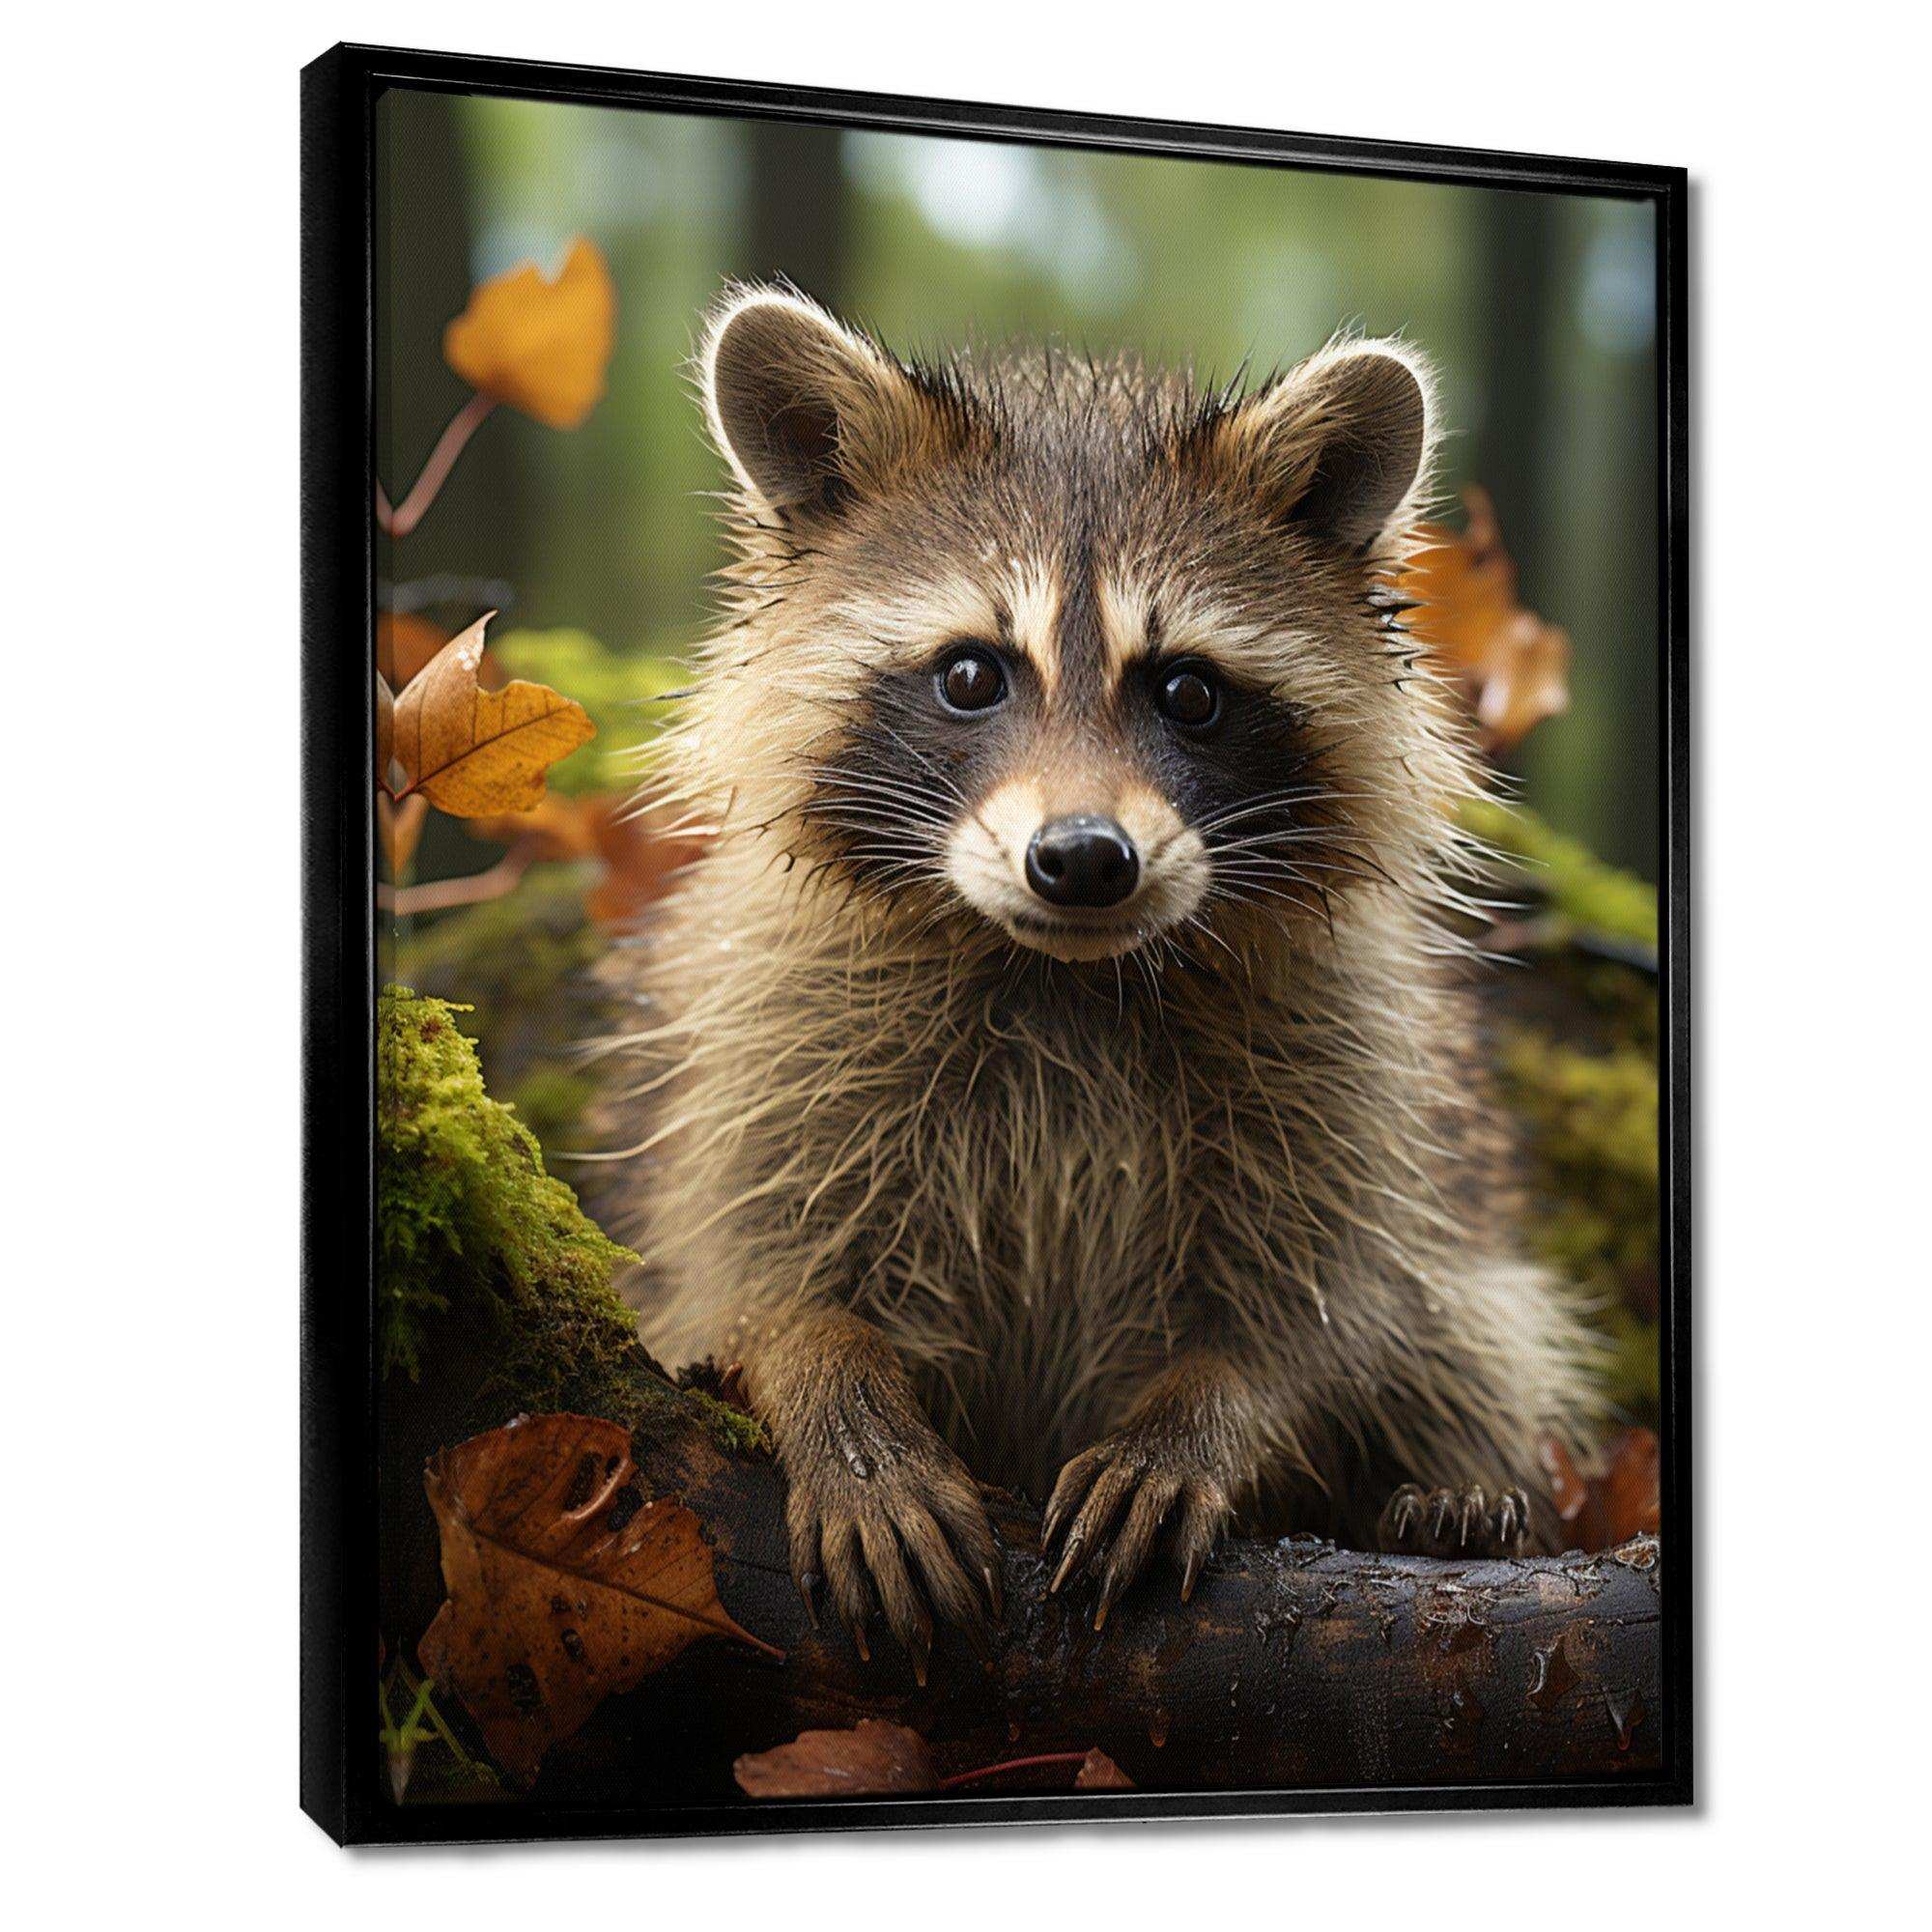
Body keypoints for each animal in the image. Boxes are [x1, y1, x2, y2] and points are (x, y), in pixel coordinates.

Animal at [599, 285, 1602, 1668]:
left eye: (1187, 690)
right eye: (971, 672)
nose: (1082, 859)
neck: (1058, 973)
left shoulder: (1353, 1066)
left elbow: (1322, 1311)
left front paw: (1204, 1415)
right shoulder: (769, 1033)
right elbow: (745, 1268)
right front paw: (833, 1388)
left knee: (1473, 1331)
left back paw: (1449, 1491)